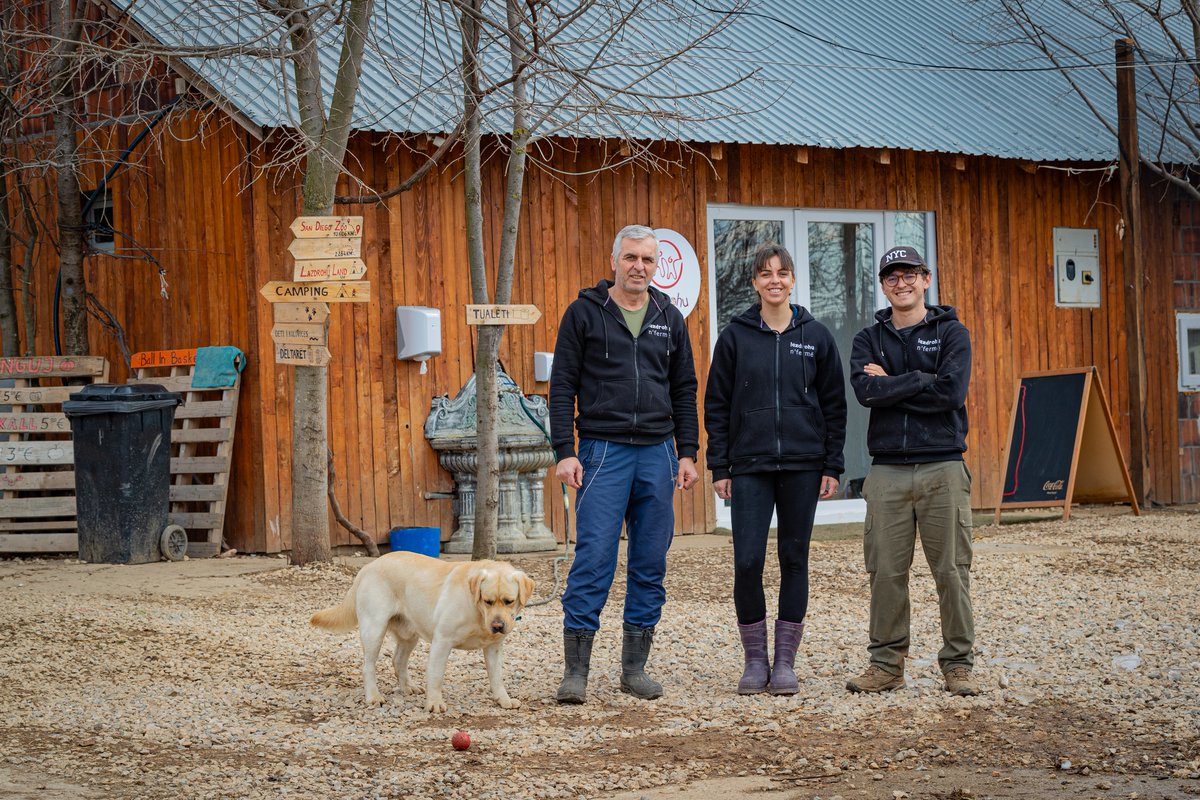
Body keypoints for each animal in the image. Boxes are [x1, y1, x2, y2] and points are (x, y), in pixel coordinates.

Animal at [312, 551, 532, 714]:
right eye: (487, 601)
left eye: (509, 601)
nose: (497, 625)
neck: (477, 612)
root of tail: (368, 567)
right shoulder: (442, 641)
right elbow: (436, 676)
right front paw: (434, 703)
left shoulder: (494, 647)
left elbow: (497, 677)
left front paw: (503, 699)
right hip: (374, 630)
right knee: (368, 666)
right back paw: (373, 696)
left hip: (409, 634)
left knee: (398, 661)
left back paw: (408, 687)